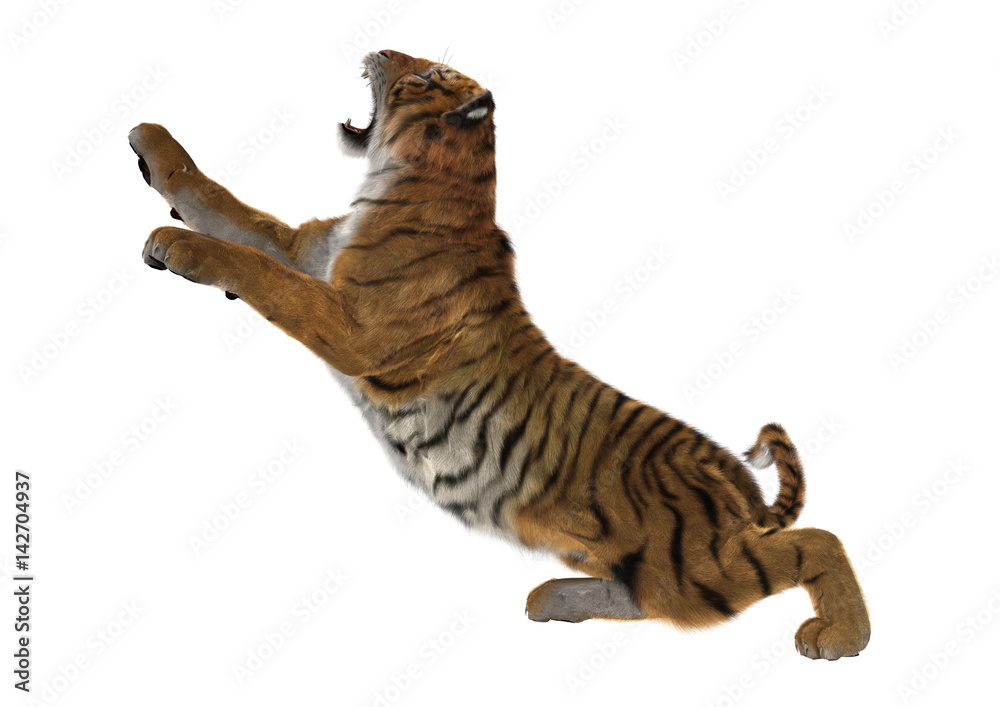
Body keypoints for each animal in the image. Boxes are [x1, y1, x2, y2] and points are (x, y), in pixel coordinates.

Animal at [127, 48, 870, 660]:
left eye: (427, 74)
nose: (377, 48)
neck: (395, 181)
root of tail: (733, 478)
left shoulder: (354, 324)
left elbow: (253, 265)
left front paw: (177, 244)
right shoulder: (306, 249)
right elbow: (222, 203)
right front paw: (151, 139)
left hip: (694, 564)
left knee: (814, 543)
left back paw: (839, 635)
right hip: (643, 560)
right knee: (650, 595)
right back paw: (553, 600)